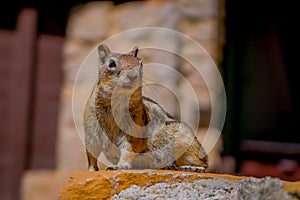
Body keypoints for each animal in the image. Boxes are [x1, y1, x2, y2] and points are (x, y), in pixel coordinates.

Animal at [83, 44, 207, 173]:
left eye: (141, 63)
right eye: (112, 63)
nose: (133, 75)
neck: (117, 101)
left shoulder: (133, 129)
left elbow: (128, 149)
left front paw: (120, 165)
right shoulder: (90, 129)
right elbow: (91, 154)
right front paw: (91, 170)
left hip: (187, 143)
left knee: (203, 163)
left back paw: (192, 167)